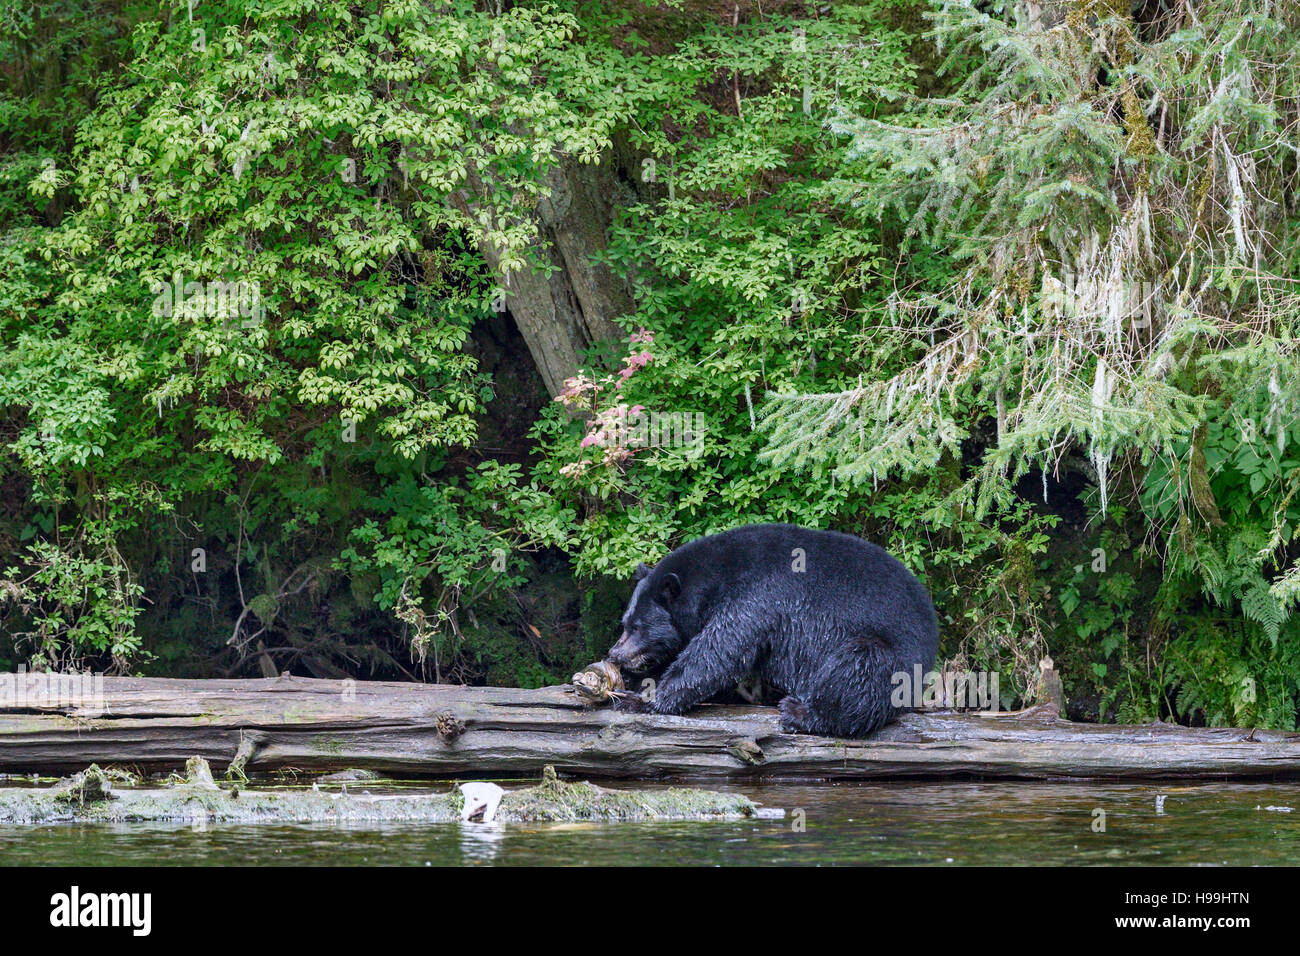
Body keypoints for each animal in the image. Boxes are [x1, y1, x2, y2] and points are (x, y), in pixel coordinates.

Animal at [603, 522, 941, 738]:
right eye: (625, 622)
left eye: (637, 626)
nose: (614, 653)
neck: (711, 581)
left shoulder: (757, 596)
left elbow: (719, 649)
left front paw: (648, 698)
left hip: (889, 653)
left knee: (858, 670)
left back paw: (799, 712)